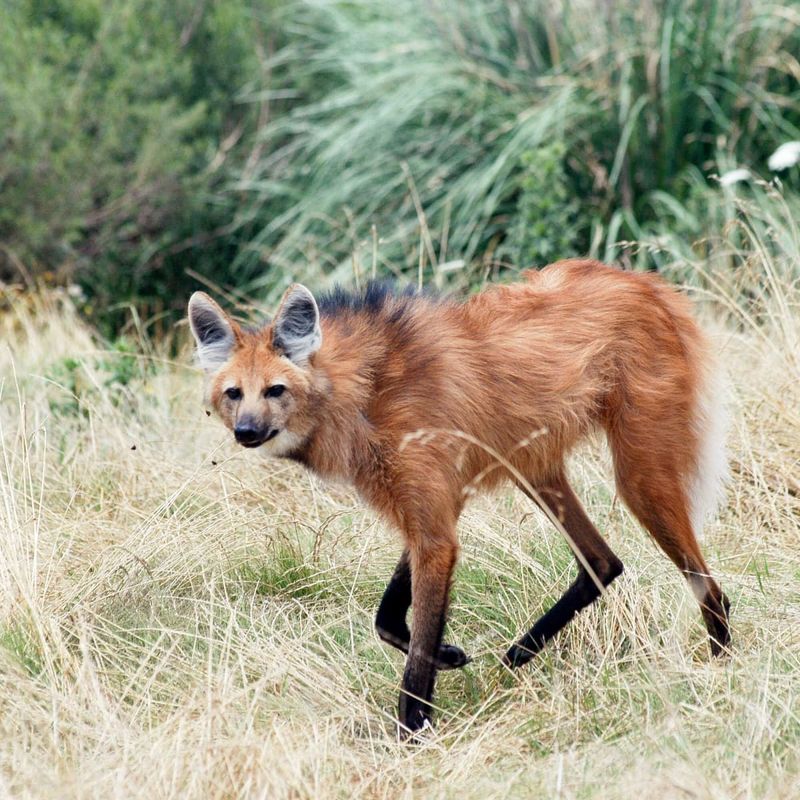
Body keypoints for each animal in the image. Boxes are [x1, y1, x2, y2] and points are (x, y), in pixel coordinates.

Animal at [188, 260, 732, 736]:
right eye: (234, 394)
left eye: (275, 390)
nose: (246, 432)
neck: (364, 393)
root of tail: (647, 283)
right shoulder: (431, 510)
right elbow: (388, 618)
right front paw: (449, 656)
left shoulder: (434, 526)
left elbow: (414, 654)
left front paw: (412, 736)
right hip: (534, 469)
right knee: (602, 562)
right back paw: (519, 652)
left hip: (639, 478)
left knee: (708, 587)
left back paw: (722, 669)